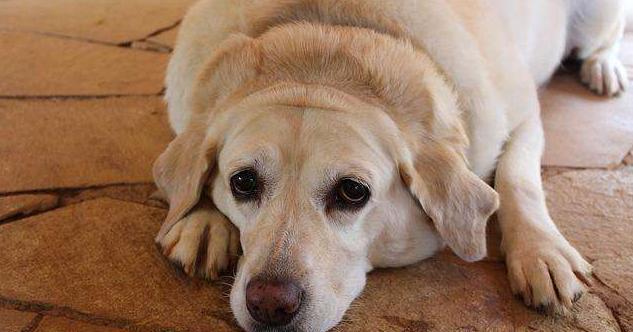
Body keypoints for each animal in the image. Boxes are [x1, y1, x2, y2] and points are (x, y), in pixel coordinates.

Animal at [152, 1, 628, 330]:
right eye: (243, 182)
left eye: (352, 191)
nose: (269, 304)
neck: (328, 37)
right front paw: (202, 220)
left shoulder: (526, 114)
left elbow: (517, 179)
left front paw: (541, 252)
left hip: (598, 18)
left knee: (605, 39)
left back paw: (605, 67)